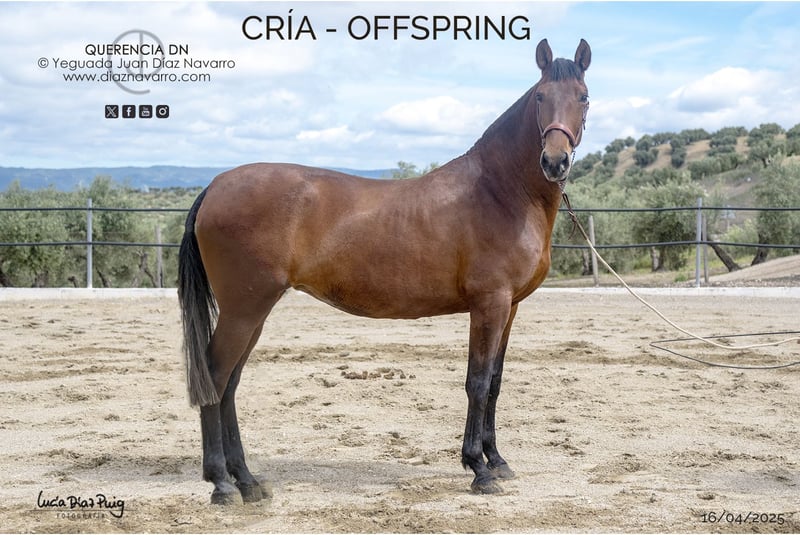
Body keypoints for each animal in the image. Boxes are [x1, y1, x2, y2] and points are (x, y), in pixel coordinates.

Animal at [178, 38, 591, 503]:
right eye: (540, 97)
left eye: (583, 97)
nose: (554, 161)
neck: (499, 191)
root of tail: (215, 186)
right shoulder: (489, 304)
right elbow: (478, 382)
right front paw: (479, 469)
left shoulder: (510, 308)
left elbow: (496, 382)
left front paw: (498, 461)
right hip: (243, 309)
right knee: (215, 376)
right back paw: (221, 483)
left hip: (253, 311)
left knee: (230, 382)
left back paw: (246, 480)